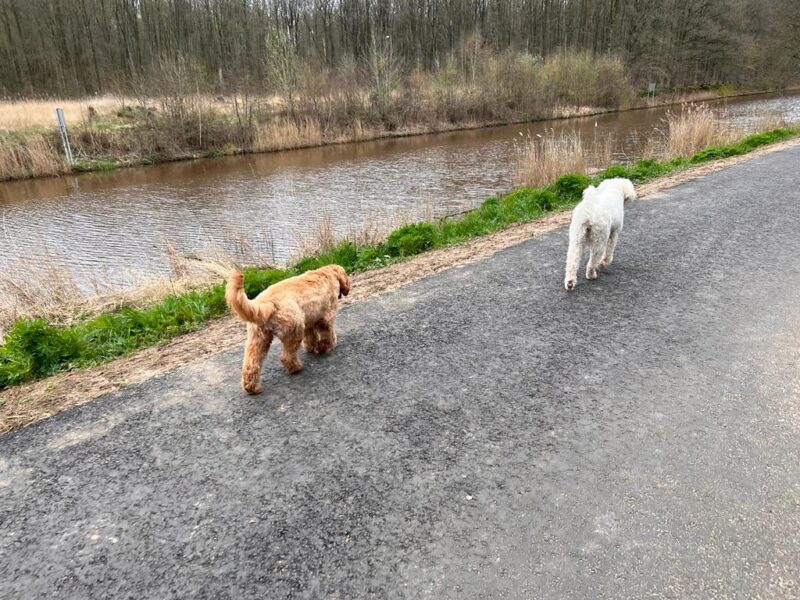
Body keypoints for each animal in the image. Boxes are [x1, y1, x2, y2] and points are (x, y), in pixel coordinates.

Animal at [225, 264, 350, 396]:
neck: (326, 273)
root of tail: (266, 304)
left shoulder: (309, 320)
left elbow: (311, 336)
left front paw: (311, 347)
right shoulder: (325, 319)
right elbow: (327, 336)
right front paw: (325, 347)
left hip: (258, 338)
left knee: (251, 365)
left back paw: (251, 388)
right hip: (294, 331)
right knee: (286, 357)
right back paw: (296, 367)